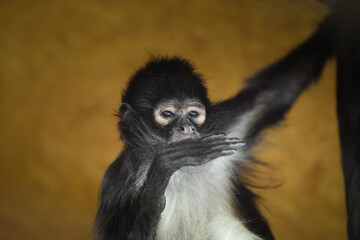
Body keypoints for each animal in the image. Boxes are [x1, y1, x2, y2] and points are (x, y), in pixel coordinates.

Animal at [94, 15, 334, 239]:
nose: (186, 128)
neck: (184, 172)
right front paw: (165, 165)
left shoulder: (226, 126)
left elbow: (275, 92)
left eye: (193, 114)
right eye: (167, 114)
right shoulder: (117, 181)